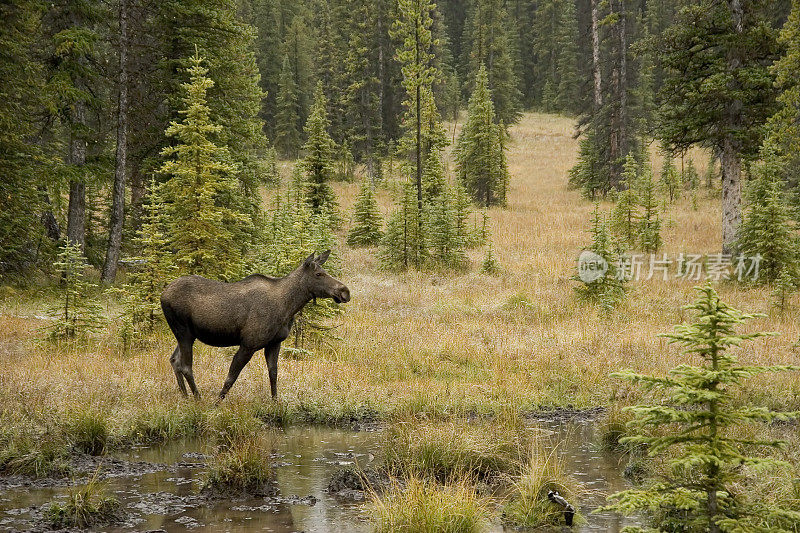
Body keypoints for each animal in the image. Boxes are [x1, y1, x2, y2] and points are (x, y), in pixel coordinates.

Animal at [160, 251, 350, 402]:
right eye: (318, 274)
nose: (345, 291)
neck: (288, 307)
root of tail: (162, 294)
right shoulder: (248, 344)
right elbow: (230, 378)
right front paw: (216, 404)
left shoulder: (274, 343)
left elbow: (273, 374)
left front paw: (275, 403)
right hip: (183, 331)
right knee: (186, 366)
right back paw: (198, 399)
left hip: (187, 334)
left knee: (174, 360)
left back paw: (185, 397)